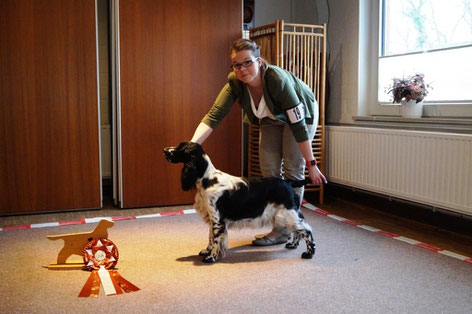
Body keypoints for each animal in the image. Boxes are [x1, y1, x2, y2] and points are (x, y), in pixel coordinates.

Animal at [164, 142, 316, 262]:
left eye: (180, 147)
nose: (164, 150)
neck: (208, 179)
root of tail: (288, 182)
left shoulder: (217, 219)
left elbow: (216, 238)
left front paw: (211, 257)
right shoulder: (212, 217)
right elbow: (210, 237)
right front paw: (207, 251)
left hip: (286, 213)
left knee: (307, 230)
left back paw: (308, 253)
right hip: (286, 215)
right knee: (298, 231)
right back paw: (293, 245)